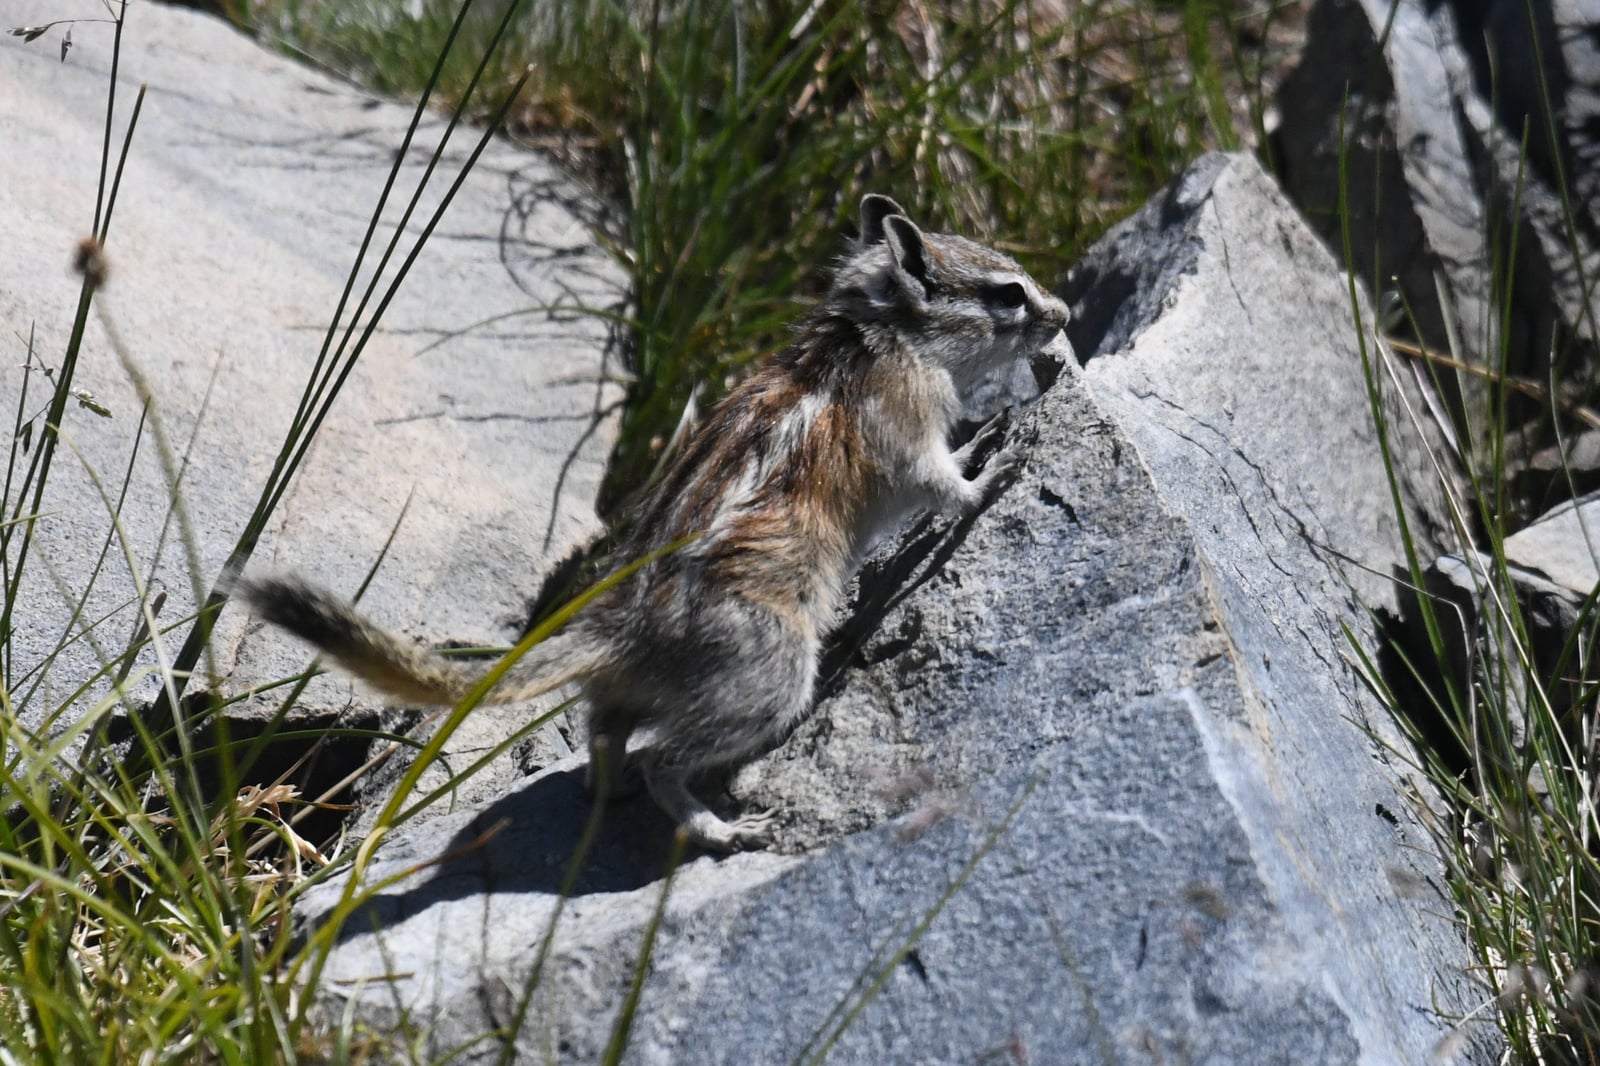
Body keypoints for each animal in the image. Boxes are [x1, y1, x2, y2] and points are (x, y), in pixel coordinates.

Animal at [243, 194, 1070, 852]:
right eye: (1007, 294)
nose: (1063, 315)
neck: (878, 334)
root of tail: (617, 630)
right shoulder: (904, 426)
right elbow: (942, 483)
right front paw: (998, 461)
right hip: (769, 675)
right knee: (659, 759)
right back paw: (723, 830)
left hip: (646, 695)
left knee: (605, 734)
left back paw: (609, 791)